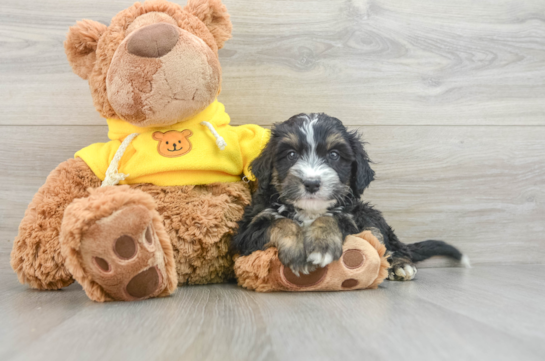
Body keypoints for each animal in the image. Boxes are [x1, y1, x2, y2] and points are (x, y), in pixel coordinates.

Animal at [231, 112, 468, 278]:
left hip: (369, 215)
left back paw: (400, 265)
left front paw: (322, 245)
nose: (312, 183)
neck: (309, 210)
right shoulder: (246, 231)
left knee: (389, 245)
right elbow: (280, 223)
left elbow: (332, 218)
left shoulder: (350, 216)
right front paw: (297, 250)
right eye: (291, 155)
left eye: (334, 155)